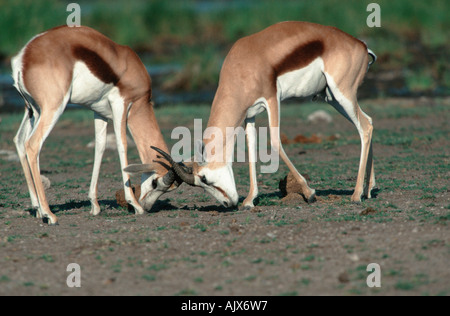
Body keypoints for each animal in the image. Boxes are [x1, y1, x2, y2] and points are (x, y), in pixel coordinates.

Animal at [11, 26, 179, 225]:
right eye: (155, 182)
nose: (146, 207)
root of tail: (24, 57)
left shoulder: (99, 112)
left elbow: (100, 147)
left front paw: (95, 206)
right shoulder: (120, 104)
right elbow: (122, 146)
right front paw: (134, 205)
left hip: (33, 110)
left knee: (20, 140)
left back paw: (37, 208)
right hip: (53, 107)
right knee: (32, 144)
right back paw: (49, 214)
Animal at [150, 21, 376, 210]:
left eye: (204, 178)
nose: (228, 203)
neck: (243, 64)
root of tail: (361, 45)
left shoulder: (272, 99)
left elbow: (275, 141)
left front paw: (310, 193)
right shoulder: (249, 114)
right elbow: (251, 150)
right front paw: (250, 200)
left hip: (342, 93)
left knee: (364, 126)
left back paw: (356, 195)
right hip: (332, 98)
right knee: (369, 122)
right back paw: (368, 190)